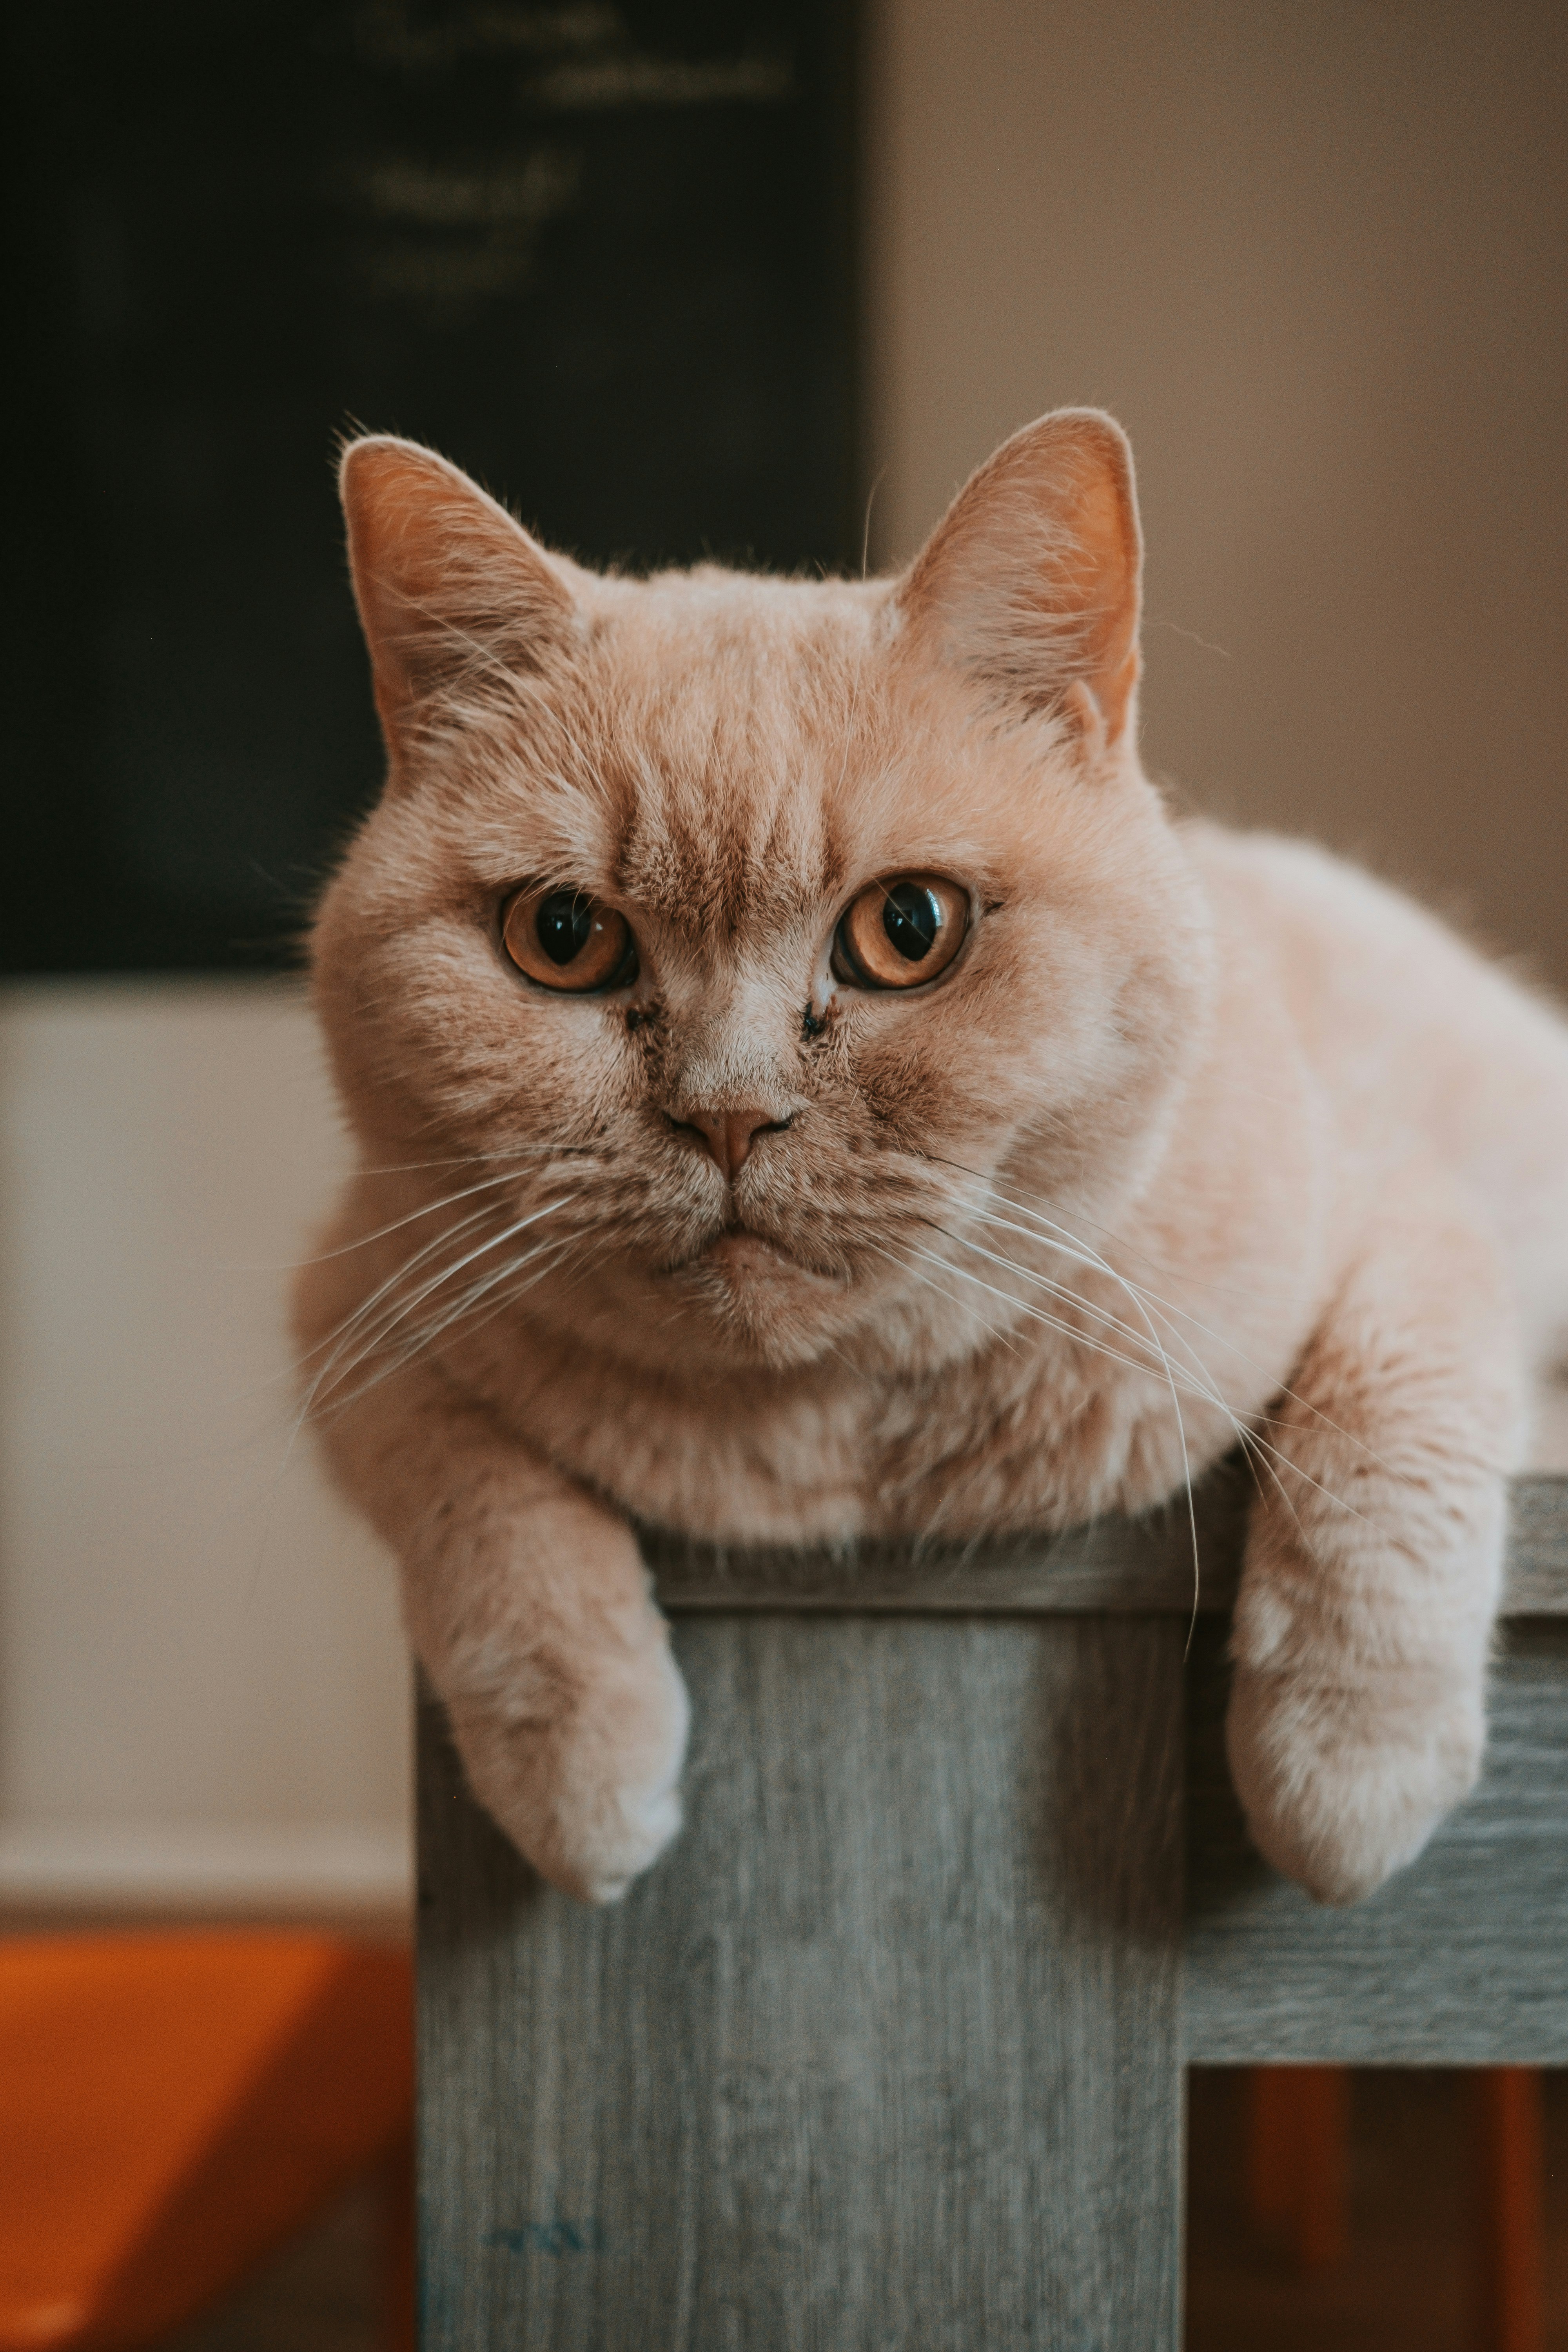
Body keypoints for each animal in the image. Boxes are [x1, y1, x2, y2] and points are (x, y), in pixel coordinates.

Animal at [294, 405, 1568, 1910]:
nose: (729, 1113)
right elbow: (476, 1501)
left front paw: (1347, 1762)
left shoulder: (1410, 1210)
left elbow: (1387, 1426)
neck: (842, 1445)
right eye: (564, 937)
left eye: (908, 928)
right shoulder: (355, 1302)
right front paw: (584, 1775)